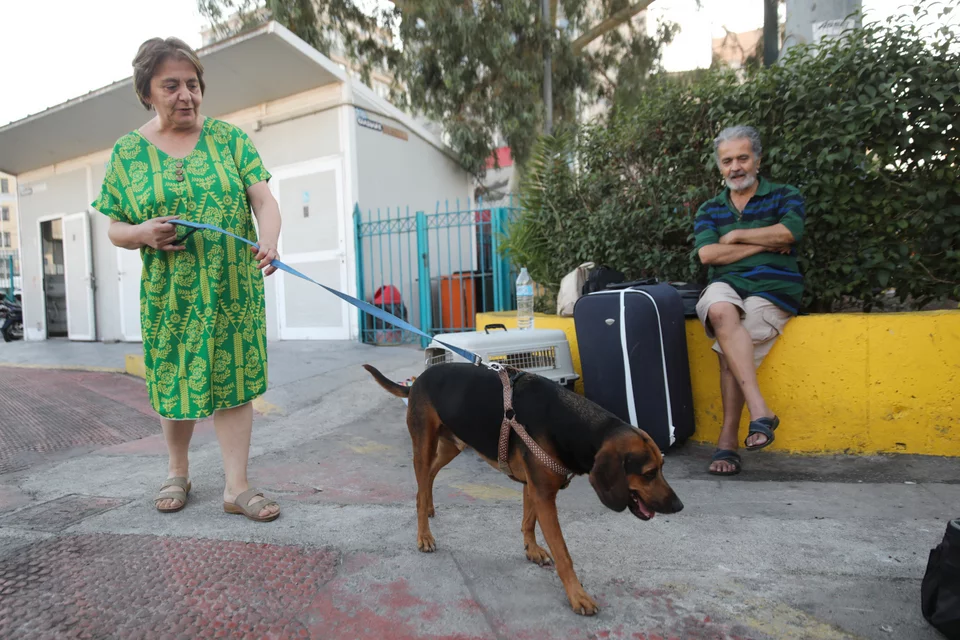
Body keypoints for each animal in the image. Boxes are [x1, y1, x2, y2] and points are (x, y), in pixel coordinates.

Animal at [360, 360, 684, 616]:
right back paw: (424, 534)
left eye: (662, 467)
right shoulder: (544, 494)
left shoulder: (534, 487)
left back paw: (427, 507)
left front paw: (532, 549)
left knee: (427, 480)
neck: (571, 425)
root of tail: (418, 379)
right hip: (425, 444)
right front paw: (577, 595)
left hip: (452, 445)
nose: (678, 506)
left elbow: (528, 522)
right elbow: (564, 555)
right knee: (421, 480)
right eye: (649, 473)